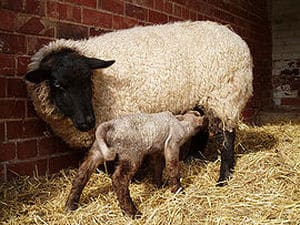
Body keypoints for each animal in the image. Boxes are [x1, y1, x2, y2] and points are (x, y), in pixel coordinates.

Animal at [24, 20, 253, 184]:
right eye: (57, 85)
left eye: (88, 80)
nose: (87, 122)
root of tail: (233, 34)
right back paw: (192, 159)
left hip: (225, 95)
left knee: (228, 135)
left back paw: (224, 176)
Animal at [64, 110, 207, 216]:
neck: (182, 122)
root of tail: (110, 125)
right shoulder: (172, 144)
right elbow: (172, 167)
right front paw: (178, 190)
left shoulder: (158, 151)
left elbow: (158, 167)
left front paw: (159, 185)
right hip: (131, 154)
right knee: (119, 180)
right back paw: (132, 212)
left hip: (97, 151)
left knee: (82, 173)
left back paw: (70, 206)